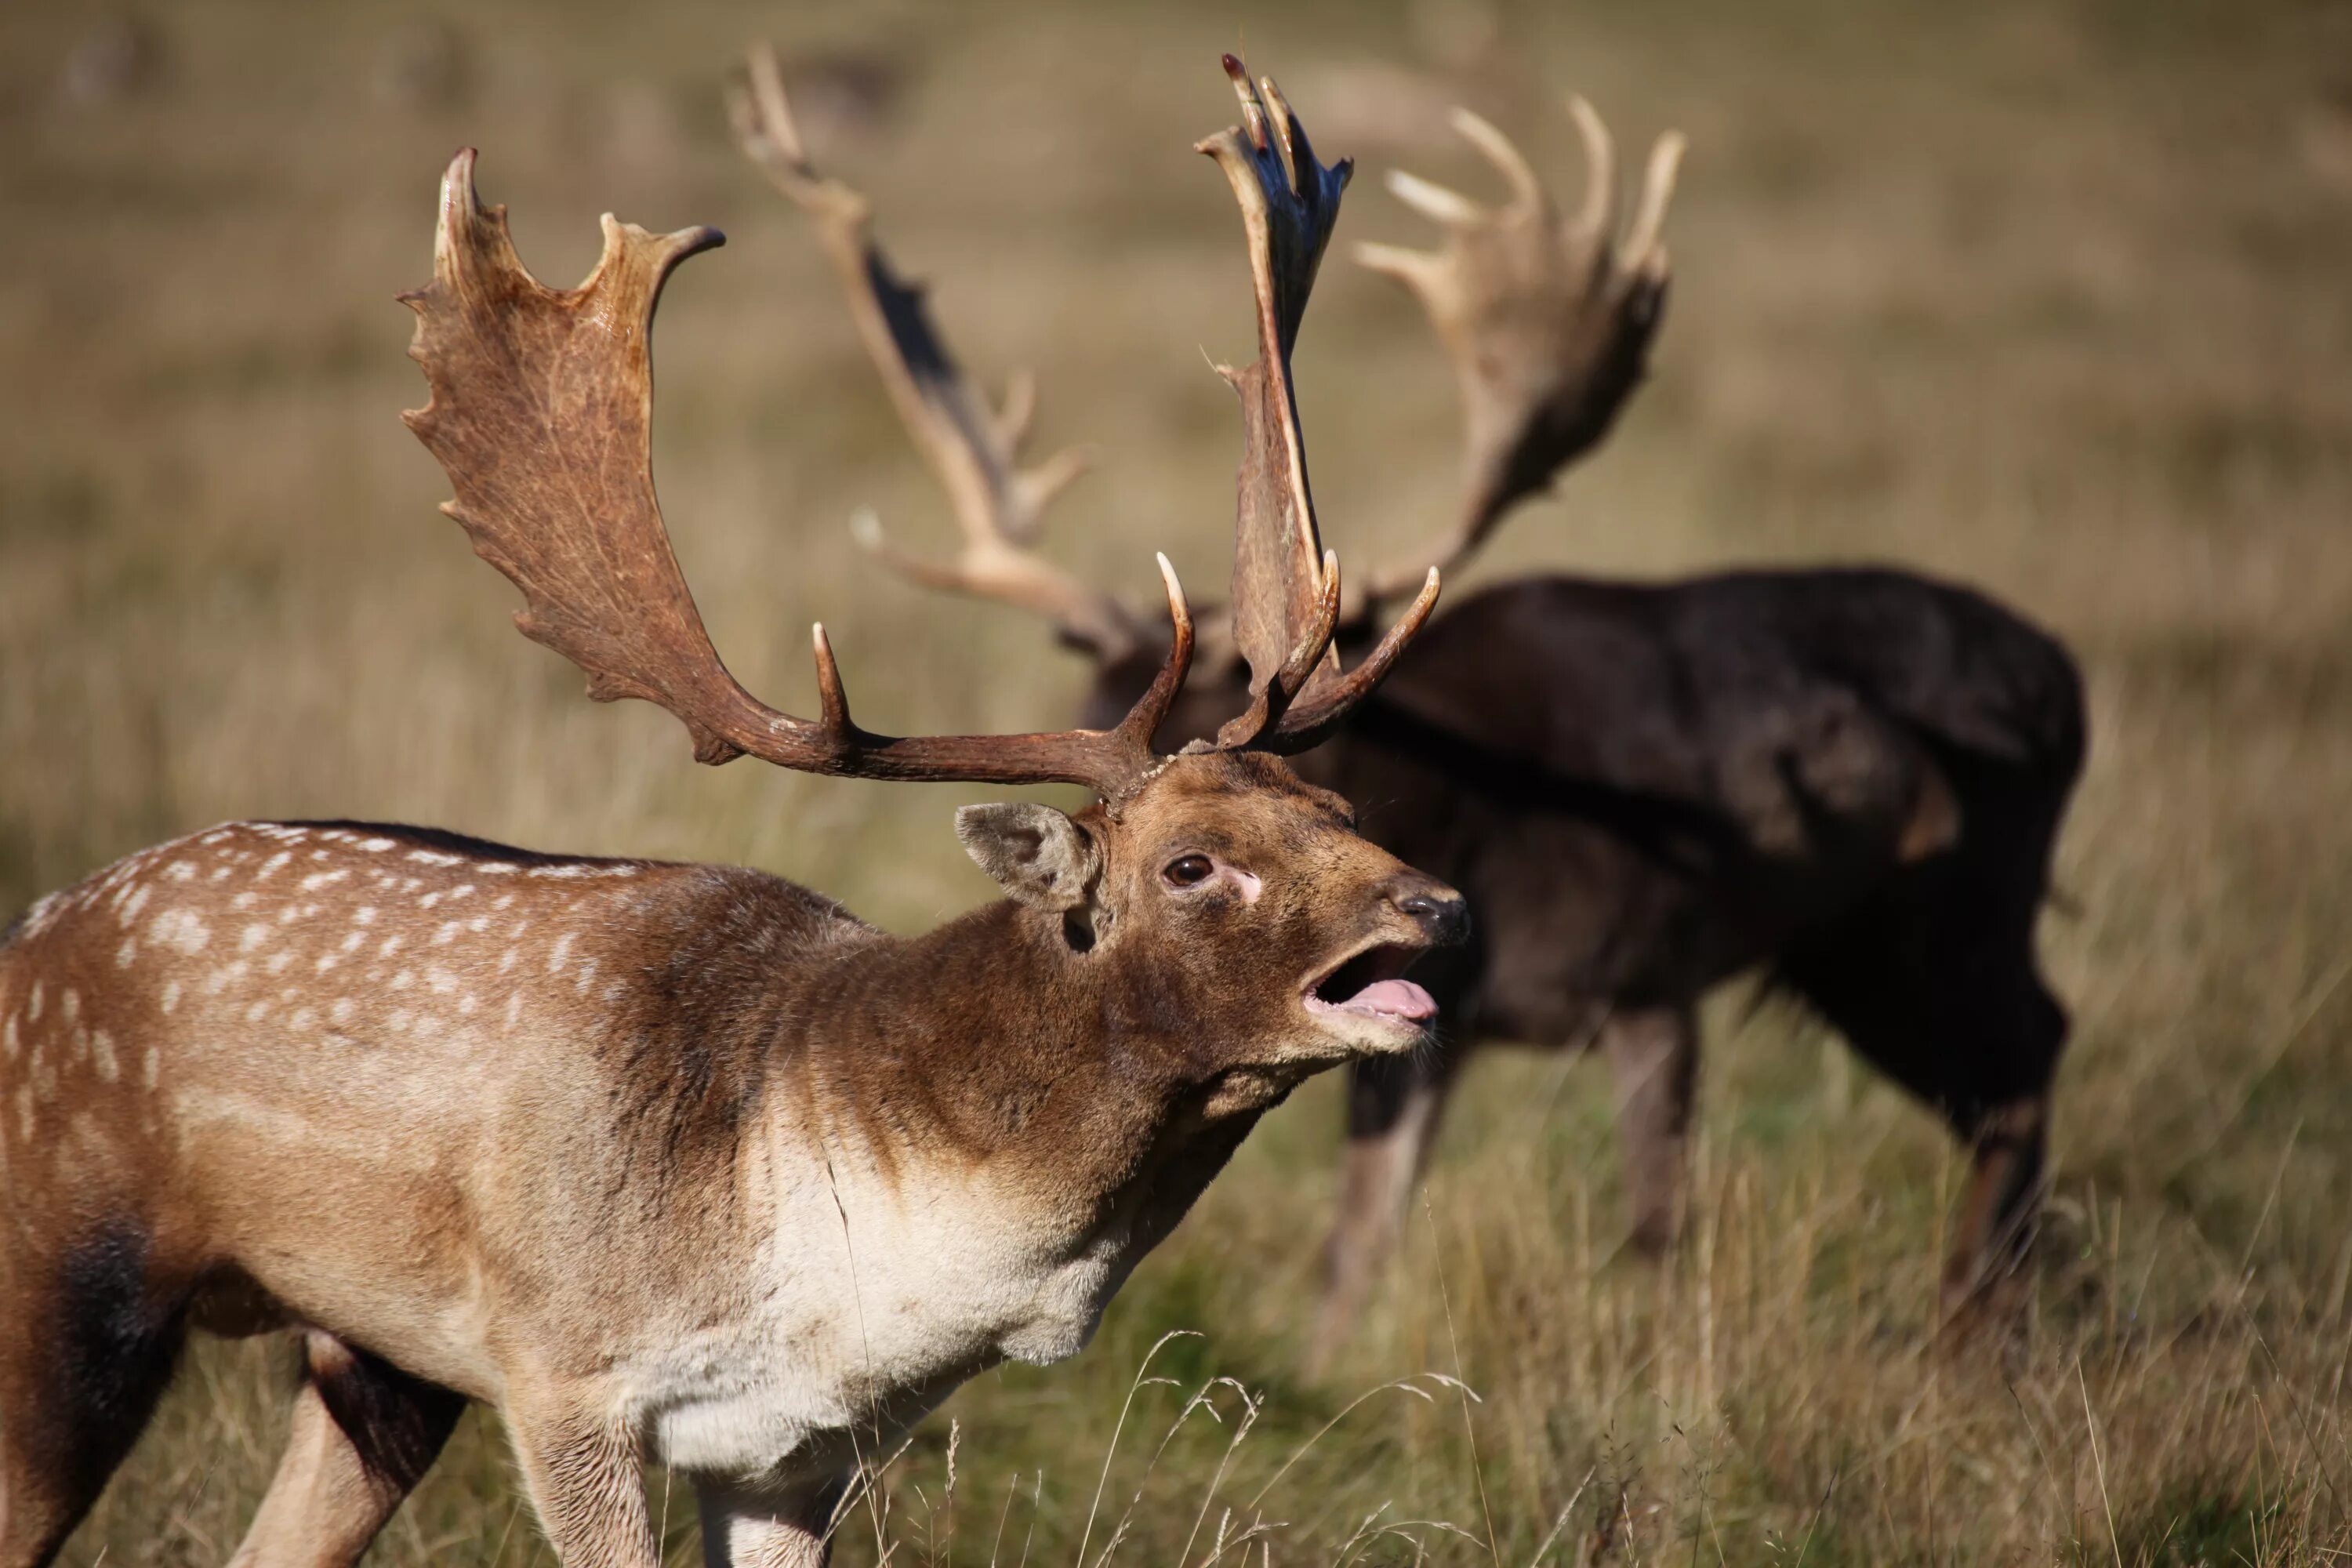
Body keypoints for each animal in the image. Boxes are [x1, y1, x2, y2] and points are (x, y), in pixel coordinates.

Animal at [0, 55, 1468, 1561]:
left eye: (1335, 796)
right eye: (1189, 864)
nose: (1437, 906)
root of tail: (29, 935)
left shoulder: (796, 1450)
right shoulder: (562, 1369)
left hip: (374, 1364)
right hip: (59, 1272)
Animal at [748, 64, 2079, 1354]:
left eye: (1298, 783)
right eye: (1087, 705)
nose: (1435, 906)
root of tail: (2068, 676)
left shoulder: (1653, 968)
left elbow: (1656, 1228)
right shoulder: (1428, 1025)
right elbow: (1362, 1236)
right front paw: (1333, 1369)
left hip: (1947, 905)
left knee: (2028, 1057)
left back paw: (1975, 1328)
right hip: (1852, 944)